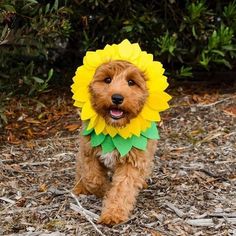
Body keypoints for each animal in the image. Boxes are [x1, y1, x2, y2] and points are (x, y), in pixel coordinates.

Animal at [73, 60, 158, 225]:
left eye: (131, 82)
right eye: (107, 79)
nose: (117, 98)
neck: (114, 130)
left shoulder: (133, 161)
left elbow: (122, 189)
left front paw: (113, 213)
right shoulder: (88, 151)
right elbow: (93, 178)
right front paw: (105, 189)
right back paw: (79, 187)